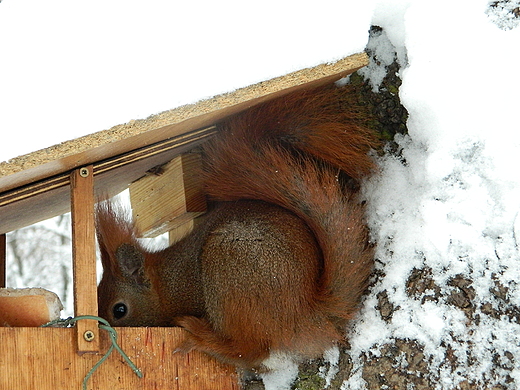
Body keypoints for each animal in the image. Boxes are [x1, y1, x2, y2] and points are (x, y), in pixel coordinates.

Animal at [95, 83, 376, 372]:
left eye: (119, 310)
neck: (165, 285)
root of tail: (305, 311)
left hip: (231, 268)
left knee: (250, 350)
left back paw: (204, 339)